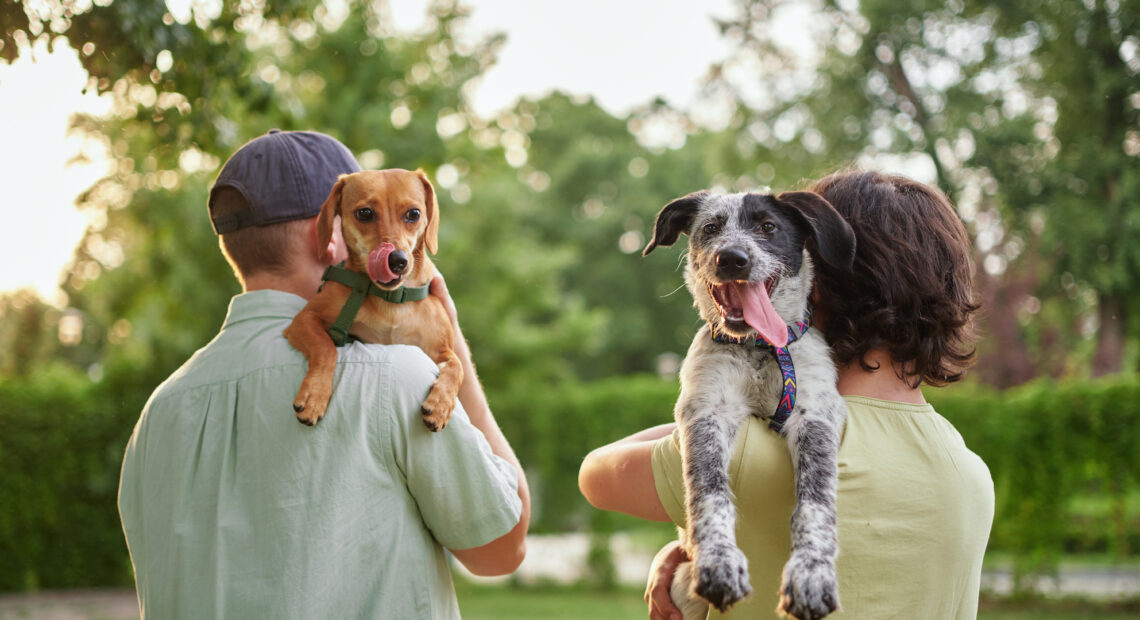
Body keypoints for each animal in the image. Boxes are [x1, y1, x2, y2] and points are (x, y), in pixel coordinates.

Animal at [282, 169, 460, 430]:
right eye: (364, 213)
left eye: (414, 214)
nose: (397, 260)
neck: (391, 300)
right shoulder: (304, 320)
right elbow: (325, 348)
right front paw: (314, 395)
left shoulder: (441, 350)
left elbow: (458, 368)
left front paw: (440, 405)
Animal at [642, 190, 857, 620]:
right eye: (711, 227)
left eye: (768, 227)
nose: (732, 258)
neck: (759, 349)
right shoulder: (706, 413)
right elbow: (709, 493)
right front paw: (719, 564)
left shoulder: (815, 416)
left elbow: (816, 503)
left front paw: (811, 576)